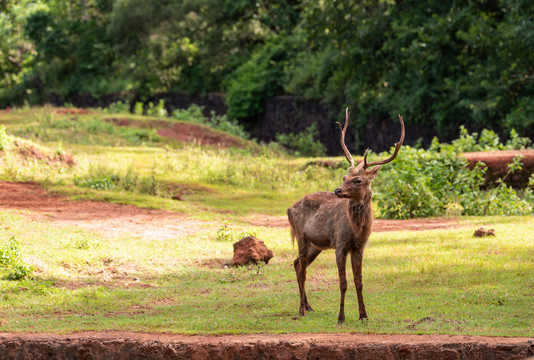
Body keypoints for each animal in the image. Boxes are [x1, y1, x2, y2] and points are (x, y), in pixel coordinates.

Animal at [288, 109, 406, 324]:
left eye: (358, 180)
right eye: (344, 177)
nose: (338, 190)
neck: (356, 229)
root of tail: (289, 208)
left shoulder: (359, 247)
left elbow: (359, 281)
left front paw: (364, 315)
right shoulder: (340, 243)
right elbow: (343, 282)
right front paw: (341, 317)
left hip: (316, 245)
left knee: (297, 263)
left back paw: (309, 306)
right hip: (301, 235)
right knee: (301, 268)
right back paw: (301, 309)